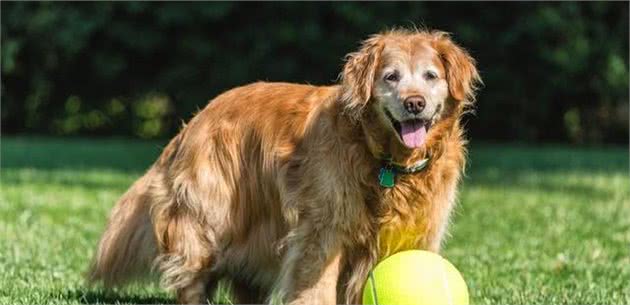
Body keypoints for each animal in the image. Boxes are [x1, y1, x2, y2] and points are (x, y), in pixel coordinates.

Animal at [89, 27, 482, 302]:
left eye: (431, 76)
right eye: (391, 77)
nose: (414, 103)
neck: (386, 161)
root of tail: (196, 119)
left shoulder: (418, 233)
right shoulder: (324, 229)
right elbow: (317, 286)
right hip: (211, 217)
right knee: (191, 275)